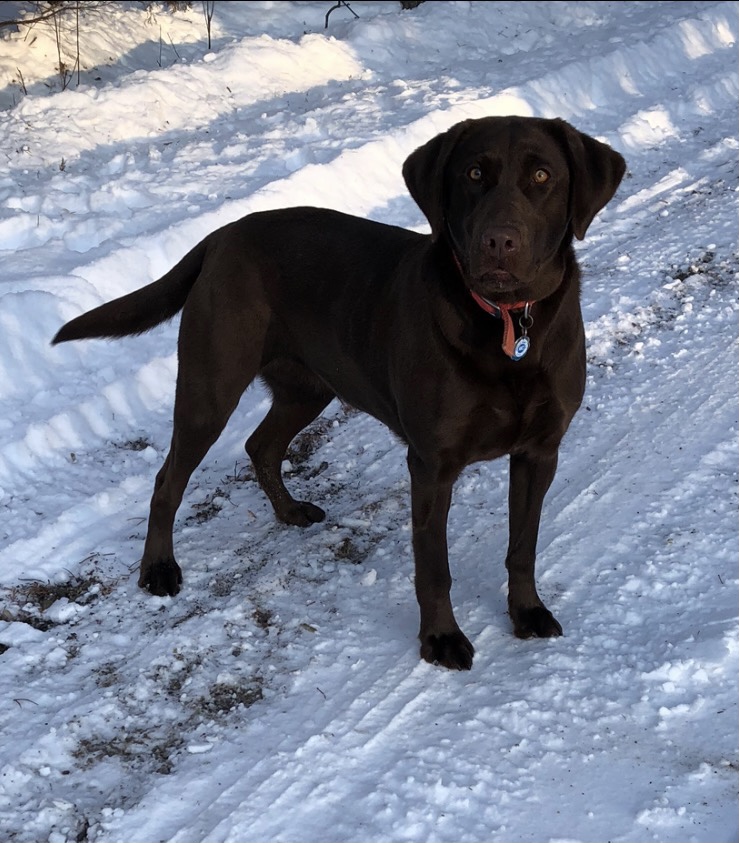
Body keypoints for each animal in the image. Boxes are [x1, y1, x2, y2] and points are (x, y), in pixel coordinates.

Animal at [55, 117, 628, 672]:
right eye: (473, 174)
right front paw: (441, 639)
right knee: (168, 479)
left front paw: (527, 611)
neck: (508, 324)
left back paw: (288, 512)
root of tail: (222, 235)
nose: (499, 242)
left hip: (308, 386)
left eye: (542, 176)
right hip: (210, 387)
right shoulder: (432, 464)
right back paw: (159, 568)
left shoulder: (540, 451)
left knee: (260, 445)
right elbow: (434, 566)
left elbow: (523, 546)